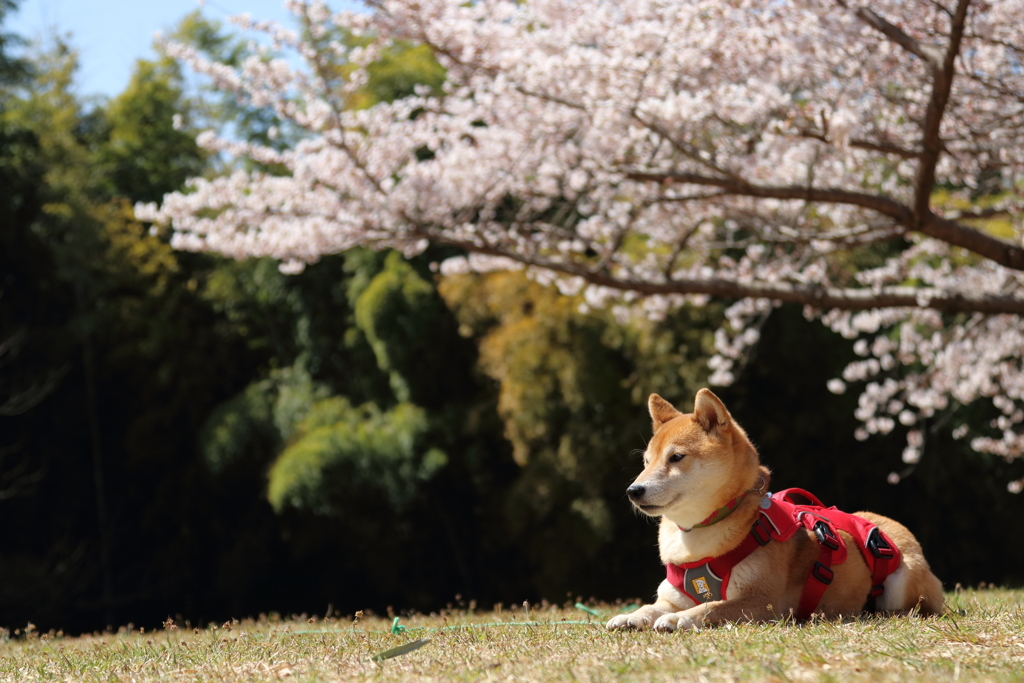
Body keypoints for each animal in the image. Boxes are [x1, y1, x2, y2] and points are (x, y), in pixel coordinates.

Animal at [602, 387, 946, 634]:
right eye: (646, 462)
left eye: (676, 457)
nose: (633, 491)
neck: (698, 538)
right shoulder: (671, 596)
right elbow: (652, 607)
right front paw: (632, 615)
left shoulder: (763, 602)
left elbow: (711, 607)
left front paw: (678, 620)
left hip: (903, 580)